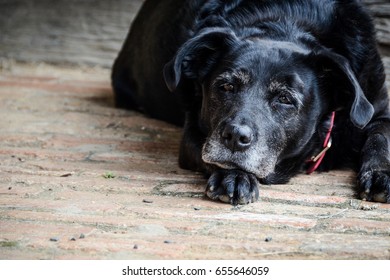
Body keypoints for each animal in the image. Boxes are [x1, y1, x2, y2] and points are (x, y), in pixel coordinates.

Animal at [112, 0, 390, 206]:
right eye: (226, 86)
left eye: (285, 99)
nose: (235, 136)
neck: (287, 22)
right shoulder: (195, 132)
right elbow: (212, 157)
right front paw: (234, 176)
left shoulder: (378, 110)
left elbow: (381, 138)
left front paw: (381, 174)